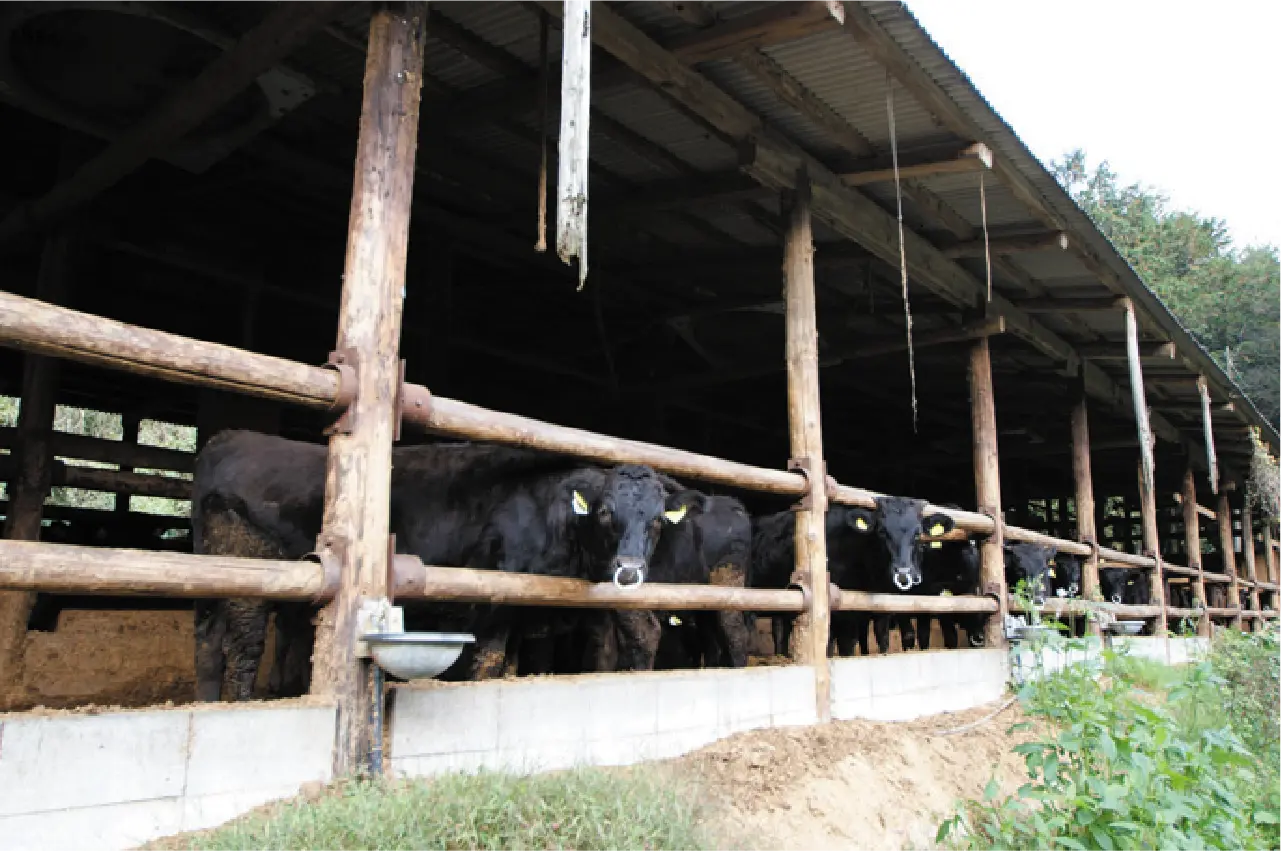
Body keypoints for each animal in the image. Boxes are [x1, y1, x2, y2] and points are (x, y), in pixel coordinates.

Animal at [189, 428, 686, 702]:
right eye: (604, 512)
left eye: (658, 520)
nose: (629, 571)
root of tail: (231, 438)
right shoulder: (491, 603)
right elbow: (487, 663)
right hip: (250, 568)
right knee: (244, 647)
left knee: (210, 644)